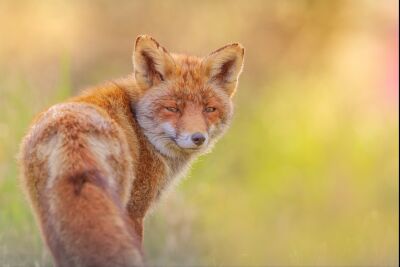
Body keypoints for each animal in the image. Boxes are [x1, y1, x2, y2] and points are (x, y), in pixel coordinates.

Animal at [18, 34, 244, 266]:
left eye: (209, 109)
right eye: (172, 108)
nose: (198, 138)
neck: (140, 128)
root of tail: (71, 132)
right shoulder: (135, 210)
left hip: (49, 221)